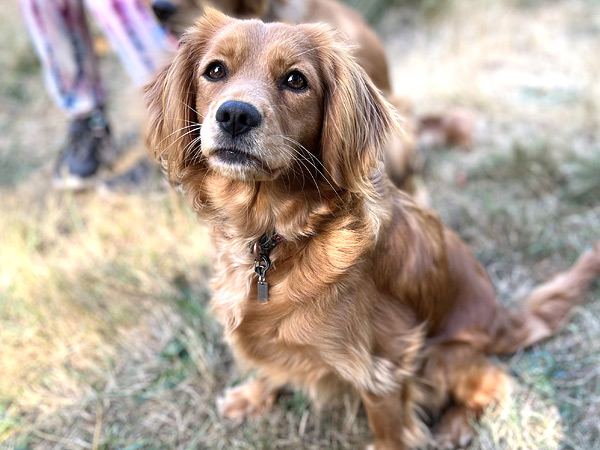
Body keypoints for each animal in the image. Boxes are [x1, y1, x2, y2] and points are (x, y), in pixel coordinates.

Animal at [145, 9, 600, 446]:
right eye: (215, 71)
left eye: (295, 80)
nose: (236, 114)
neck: (272, 235)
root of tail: (501, 318)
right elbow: (273, 362)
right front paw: (254, 394)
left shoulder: (387, 354)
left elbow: (387, 420)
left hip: (442, 357)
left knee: (495, 385)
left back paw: (455, 427)